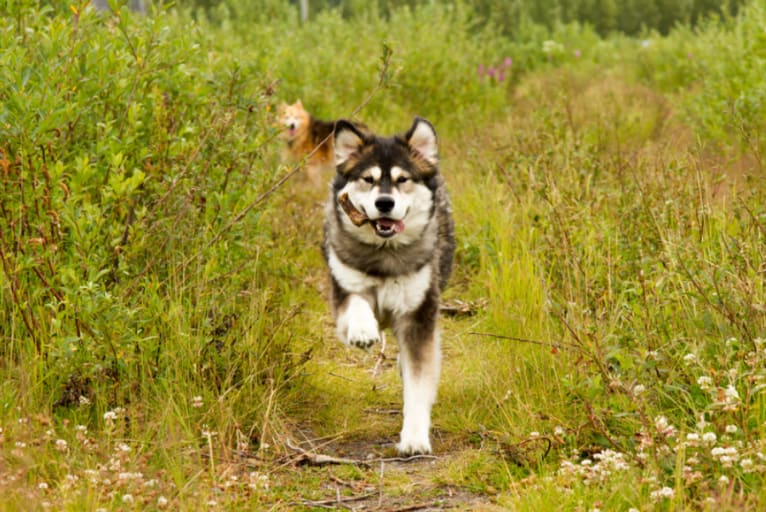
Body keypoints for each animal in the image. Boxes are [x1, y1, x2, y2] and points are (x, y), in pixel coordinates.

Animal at [322, 116, 456, 452]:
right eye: (368, 179)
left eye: (403, 179)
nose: (384, 203)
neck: (384, 256)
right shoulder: (343, 290)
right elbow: (356, 303)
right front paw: (363, 331)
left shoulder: (418, 314)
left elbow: (419, 383)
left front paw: (415, 438)